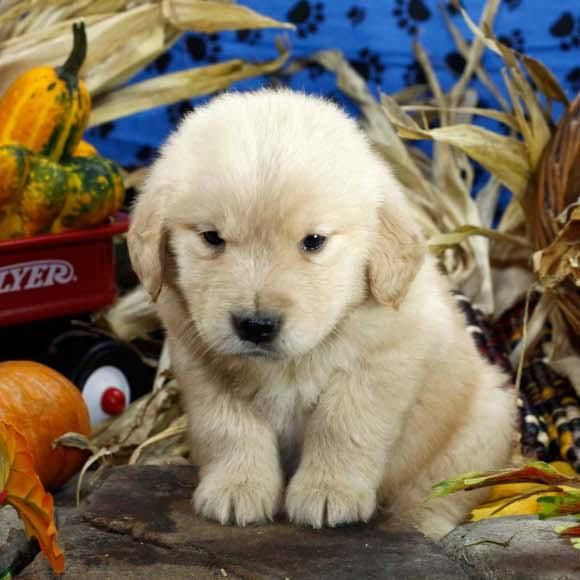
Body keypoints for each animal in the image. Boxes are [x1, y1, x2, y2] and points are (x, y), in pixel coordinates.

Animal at [128, 87, 516, 540]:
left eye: (313, 241)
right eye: (211, 238)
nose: (255, 326)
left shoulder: (382, 362)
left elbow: (342, 425)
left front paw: (329, 492)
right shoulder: (202, 363)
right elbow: (229, 427)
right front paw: (236, 487)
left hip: (483, 424)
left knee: (439, 491)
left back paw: (416, 525)